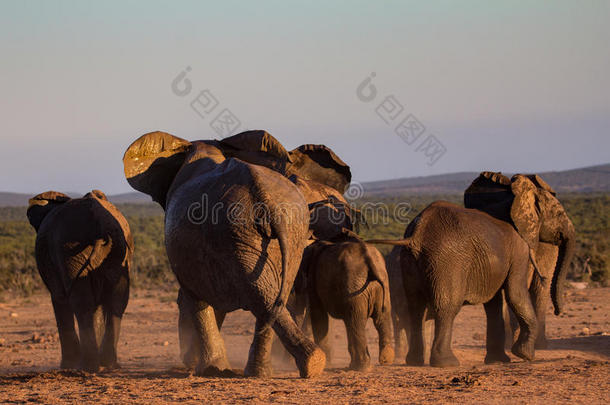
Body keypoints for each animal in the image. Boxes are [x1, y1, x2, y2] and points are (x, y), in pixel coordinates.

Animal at [26, 189, 132, 370]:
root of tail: (100, 223)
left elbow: (59, 299)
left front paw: (67, 366)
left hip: (70, 251)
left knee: (81, 303)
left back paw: (87, 366)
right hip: (117, 250)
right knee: (117, 302)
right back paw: (108, 364)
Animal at [122, 131, 352, 378]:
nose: (186, 362)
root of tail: (266, 198)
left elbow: (196, 298)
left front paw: (211, 370)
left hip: (241, 230)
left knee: (261, 294)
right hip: (285, 232)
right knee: (271, 295)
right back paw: (291, 367)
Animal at [300, 232, 394, 370]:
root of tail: (369, 259)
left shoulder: (313, 277)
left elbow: (318, 314)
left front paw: (326, 365)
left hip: (355, 288)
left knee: (355, 320)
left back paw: (361, 367)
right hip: (380, 286)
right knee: (380, 317)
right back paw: (385, 361)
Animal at [364, 201, 536, 366]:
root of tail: (418, 231)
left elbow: (494, 304)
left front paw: (498, 361)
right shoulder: (520, 253)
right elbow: (515, 294)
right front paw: (524, 355)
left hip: (410, 261)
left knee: (416, 307)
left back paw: (414, 362)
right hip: (447, 261)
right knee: (447, 306)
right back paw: (447, 363)